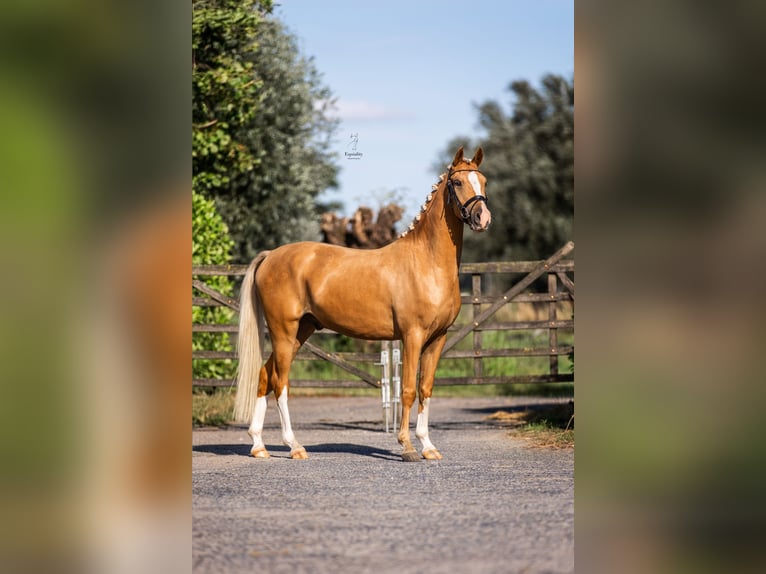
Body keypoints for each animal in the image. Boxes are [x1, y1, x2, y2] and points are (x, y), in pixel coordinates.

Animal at [234, 147, 496, 464]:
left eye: (484, 181)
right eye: (457, 183)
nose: (483, 218)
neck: (426, 262)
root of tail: (271, 255)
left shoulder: (437, 338)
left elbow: (426, 388)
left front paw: (428, 446)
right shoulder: (412, 336)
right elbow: (408, 390)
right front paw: (407, 447)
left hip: (300, 332)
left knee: (264, 376)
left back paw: (258, 446)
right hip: (283, 331)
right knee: (280, 382)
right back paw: (294, 446)